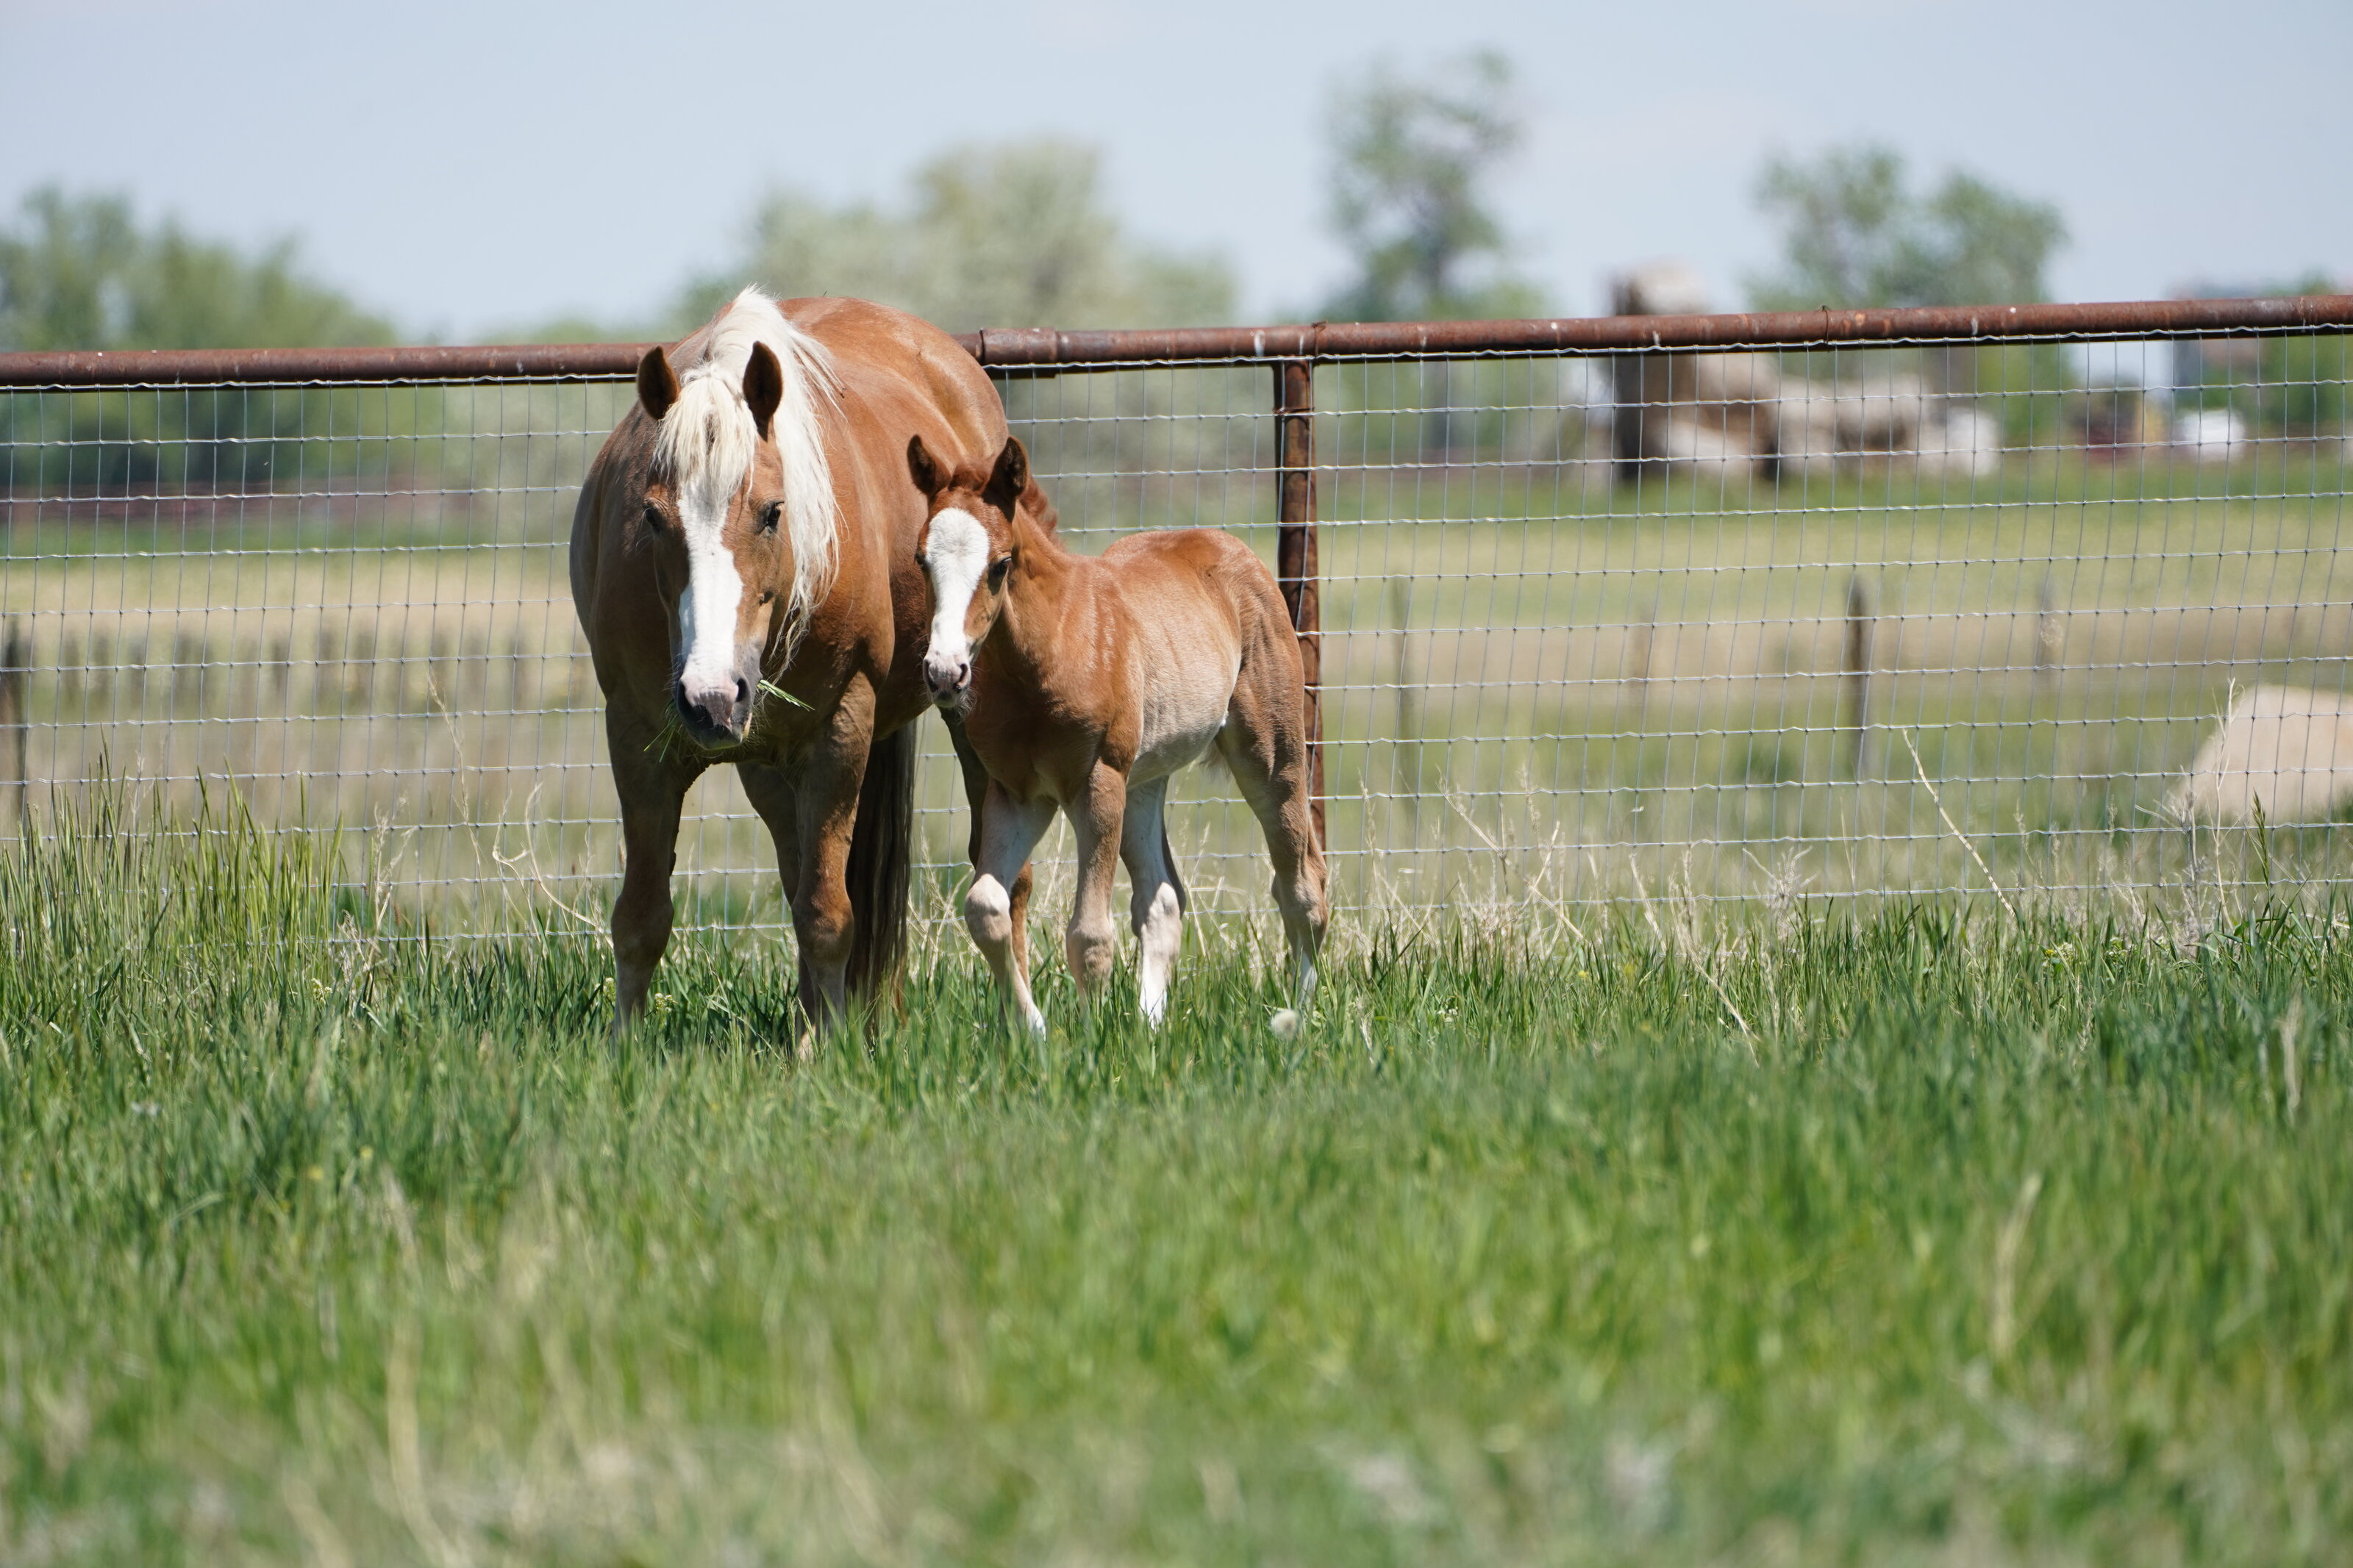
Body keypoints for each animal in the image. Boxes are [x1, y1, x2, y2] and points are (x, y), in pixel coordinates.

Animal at [571, 288, 1046, 1035]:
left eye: (772, 512)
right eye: (651, 517)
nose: (712, 697)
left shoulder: (840, 729)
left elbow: (828, 914)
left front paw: (824, 1047)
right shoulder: (638, 738)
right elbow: (642, 917)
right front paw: (625, 1043)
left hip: (967, 716)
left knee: (1002, 877)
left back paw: (1018, 1020)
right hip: (770, 766)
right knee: (798, 872)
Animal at [906, 433, 1327, 1032]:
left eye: (1001, 565)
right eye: (922, 561)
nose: (945, 673)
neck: (1049, 649)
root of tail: (1235, 550)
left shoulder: (1096, 782)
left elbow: (1089, 935)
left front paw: (1090, 1038)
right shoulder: (1018, 794)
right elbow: (985, 907)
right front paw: (1035, 1031)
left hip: (1271, 757)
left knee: (1302, 883)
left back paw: (1299, 1015)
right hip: (1144, 780)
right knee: (1163, 898)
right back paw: (1150, 1025)